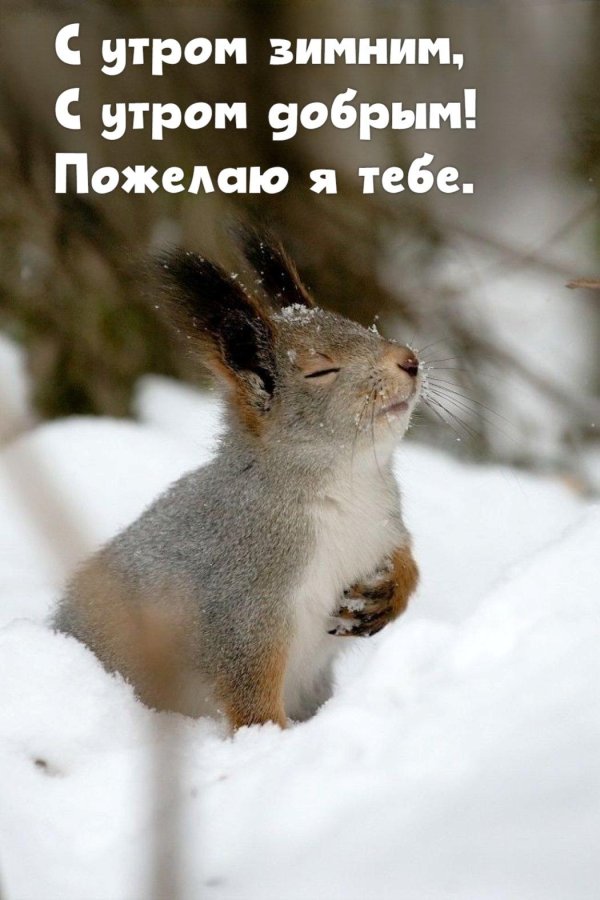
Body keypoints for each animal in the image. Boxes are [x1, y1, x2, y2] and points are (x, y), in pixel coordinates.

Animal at [53, 228, 421, 729]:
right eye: (321, 370)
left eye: (363, 327)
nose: (410, 360)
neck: (347, 485)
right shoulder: (244, 599)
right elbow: (249, 687)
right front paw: (270, 738)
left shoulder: (384, 524)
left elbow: (406, 560)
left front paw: (389, 591)